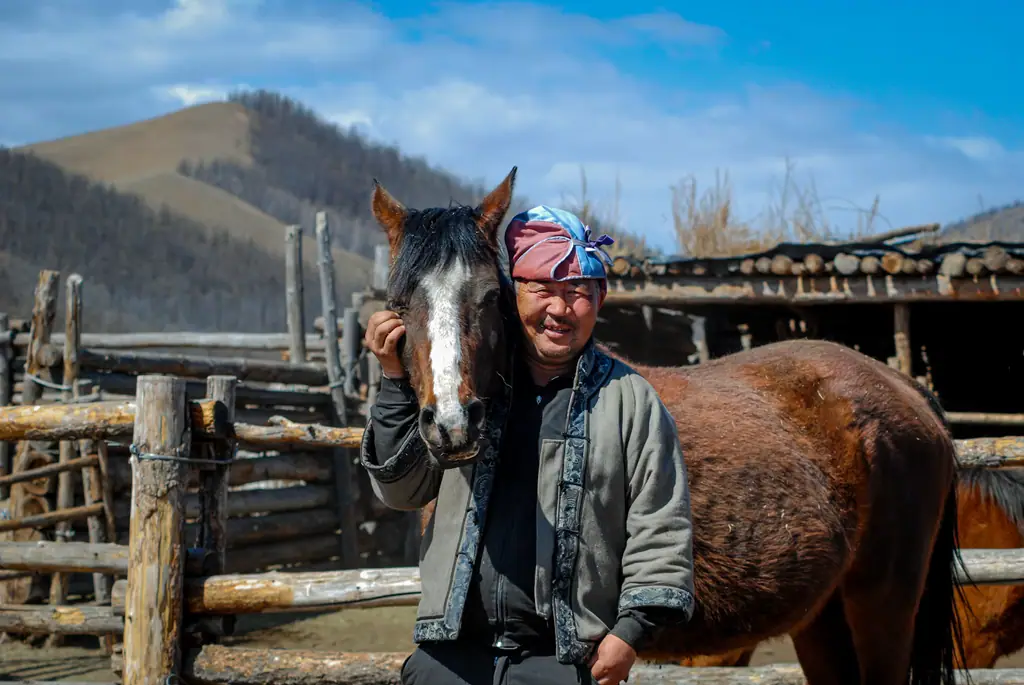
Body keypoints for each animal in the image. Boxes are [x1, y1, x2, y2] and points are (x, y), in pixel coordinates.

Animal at [369, 168, 969, 685]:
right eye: (399, 302)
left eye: (491, 298)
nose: (453, 425)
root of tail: (906, 390)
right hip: (822, 618)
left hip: (882, 608)